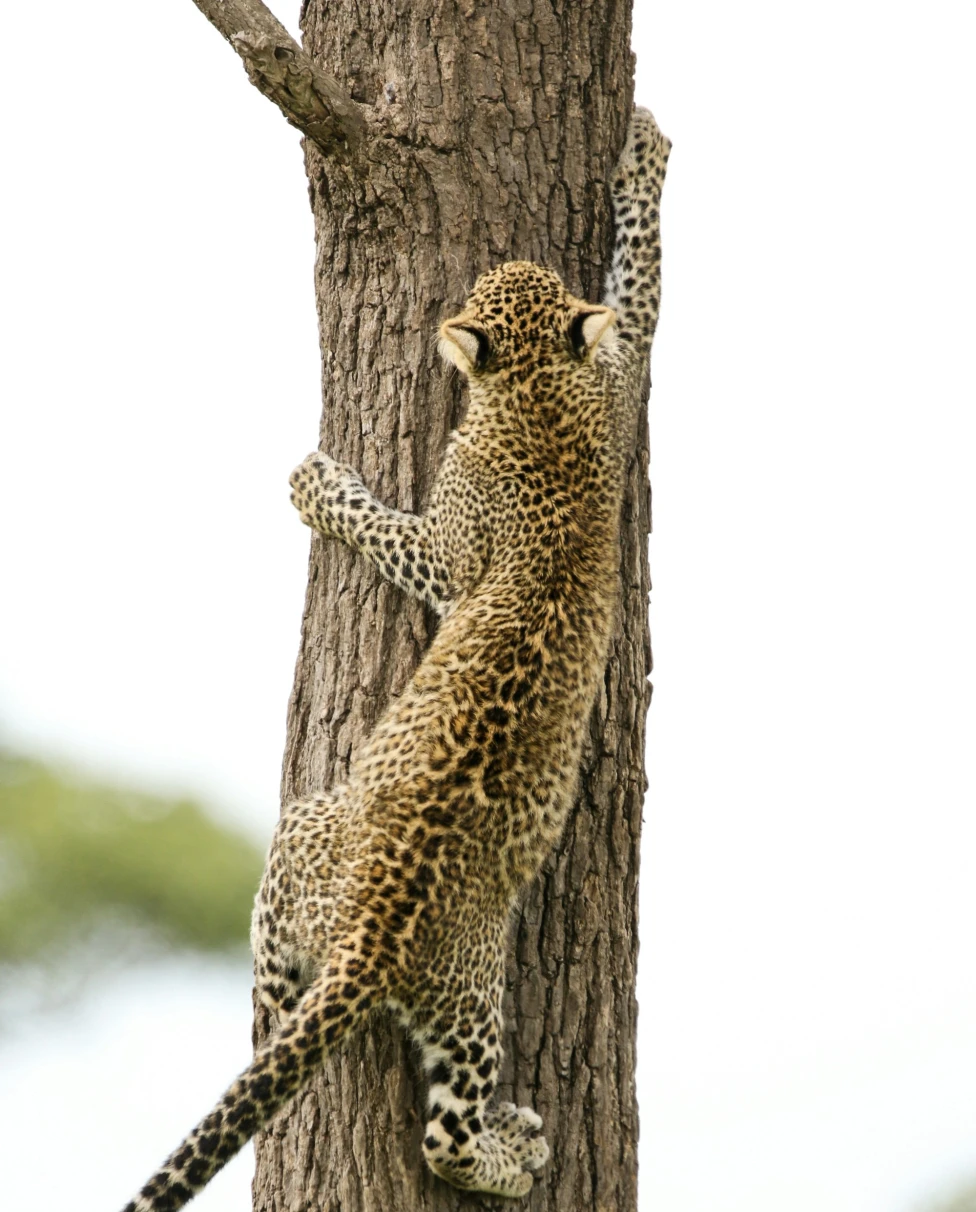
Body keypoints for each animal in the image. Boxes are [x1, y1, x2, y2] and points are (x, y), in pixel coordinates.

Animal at [122, 106, 669, 1211]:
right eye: (519, 278)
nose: (500, 257)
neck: (543, 387)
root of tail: (367, 935)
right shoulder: (619, 370)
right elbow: (640, 280)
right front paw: (647, 156)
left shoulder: (448, 555)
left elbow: (384, 528)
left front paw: (316, 486)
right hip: (324, 855)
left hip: (447, 973)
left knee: (436, 1131)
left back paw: (510, 1154)